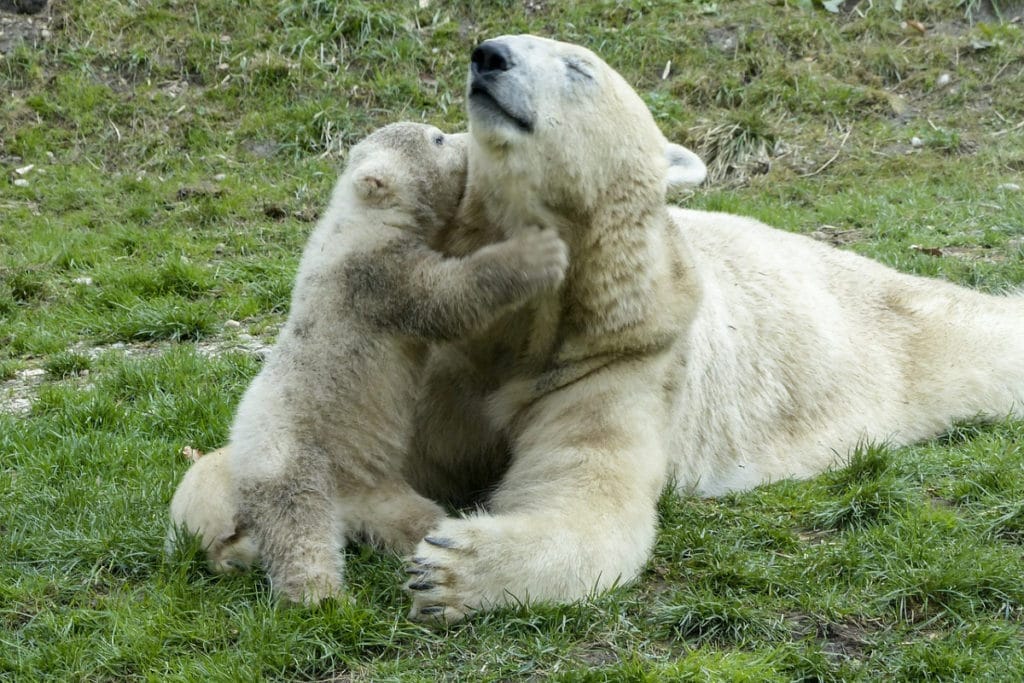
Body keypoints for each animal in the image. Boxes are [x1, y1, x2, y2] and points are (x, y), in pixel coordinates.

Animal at [222, 122, 569, 602]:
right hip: (290, 458)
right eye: (438, 138)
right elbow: (446, 299)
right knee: (298, 527)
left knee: (413, 514)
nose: (468, 141)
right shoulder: (378, 278)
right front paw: (536, 254)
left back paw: (436, 532)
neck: (362, 217)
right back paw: (320, 596)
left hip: (376, 487)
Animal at [401, 37, 1024, 626]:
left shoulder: (623, 355)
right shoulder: (449, 350)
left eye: (579, 68)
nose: (489, 56)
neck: (531, 323)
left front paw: (448, 567)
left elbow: (590, 497)